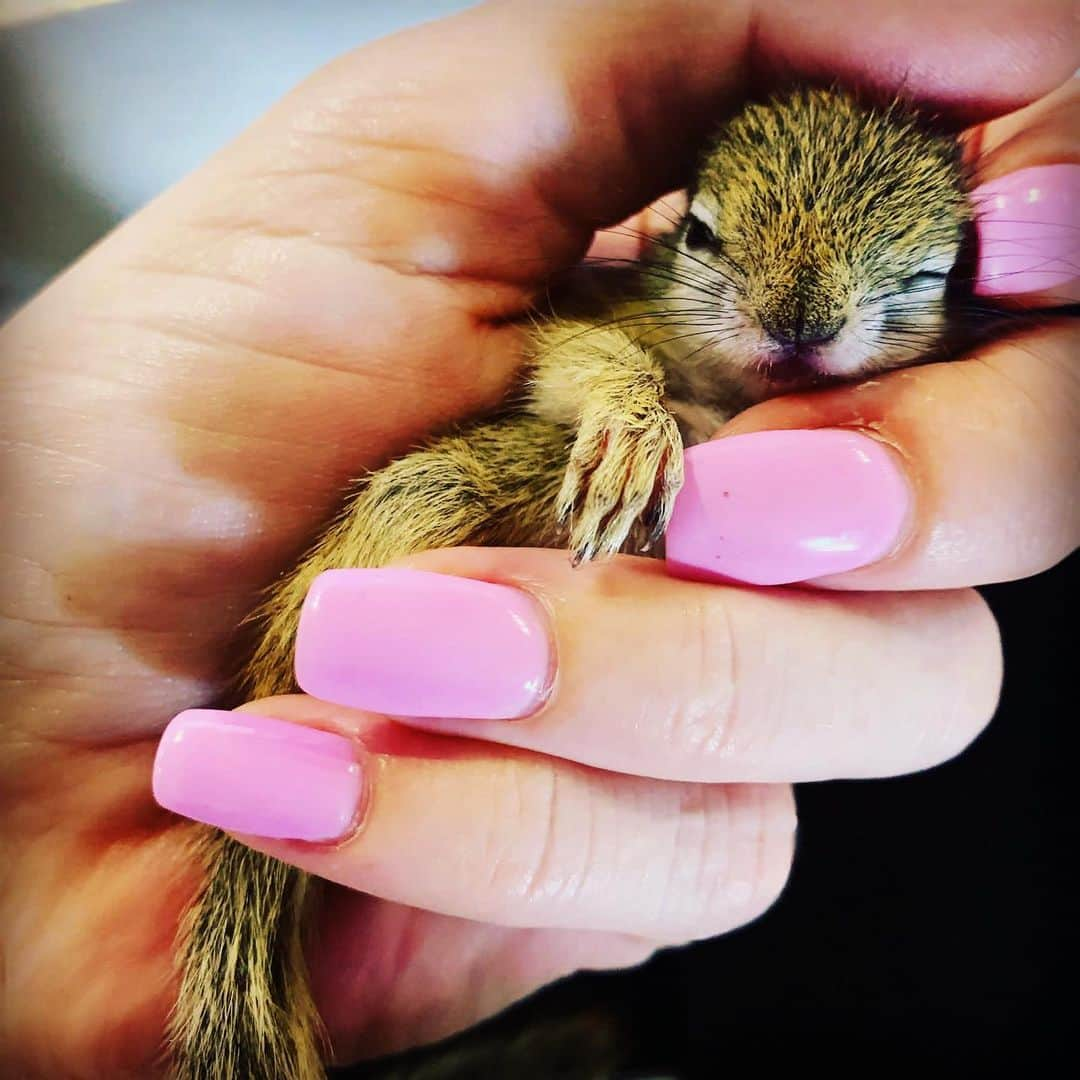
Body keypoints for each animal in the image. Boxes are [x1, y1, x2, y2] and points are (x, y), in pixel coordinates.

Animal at [166, 88, 972, 1075]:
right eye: (700, 231)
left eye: (932, 276)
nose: (801, 326)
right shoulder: (600, 317)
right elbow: (584, 361)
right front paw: (634, 429)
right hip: (407, 508)